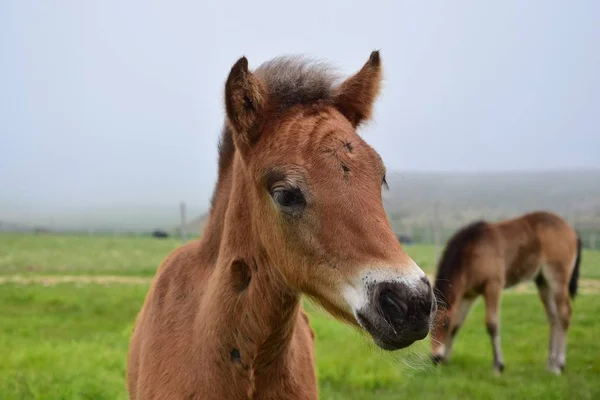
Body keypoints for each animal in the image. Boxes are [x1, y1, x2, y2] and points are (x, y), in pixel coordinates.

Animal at [432, 212, 580, 376]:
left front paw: (498, 366)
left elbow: (492, 324)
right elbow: (458, 324)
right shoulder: (468, 295)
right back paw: (550, 363)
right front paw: (446, 360)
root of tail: (571, 230)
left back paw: (559, 365)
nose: (435, 359)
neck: (472, 250)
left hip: (557, 278)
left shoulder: (493, 286)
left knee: (564, 313)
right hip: (542, 282)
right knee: (553, 317)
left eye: (445, 325)